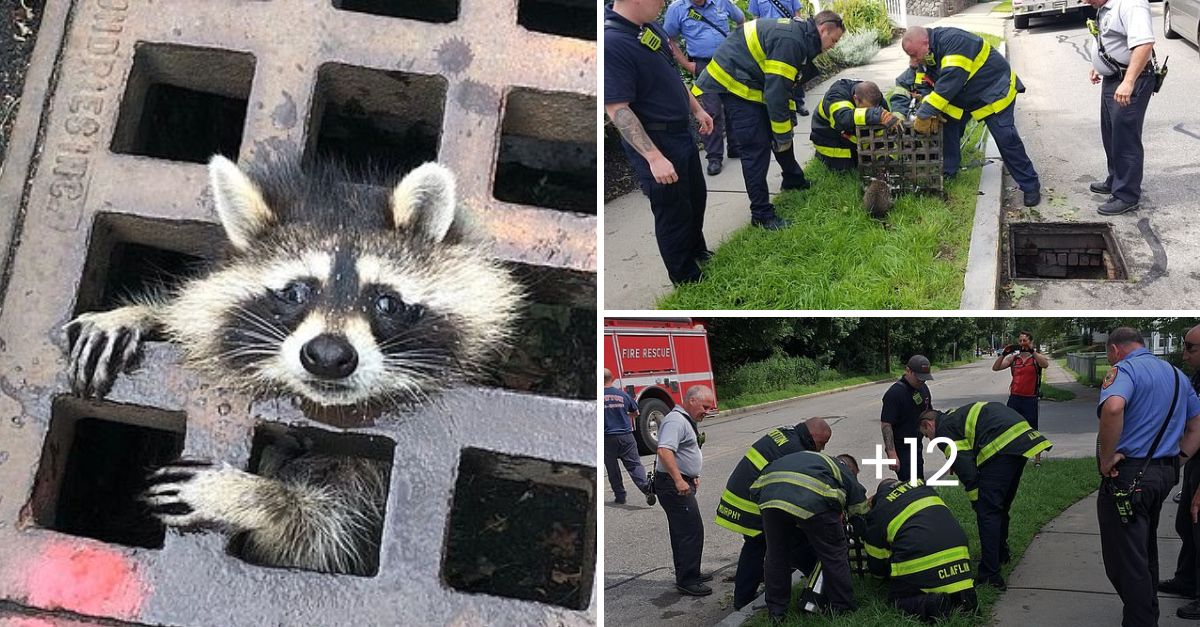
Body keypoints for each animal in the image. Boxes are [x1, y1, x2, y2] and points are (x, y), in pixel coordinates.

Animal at [64, 154, 525, 571]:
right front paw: (141, 314)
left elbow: (320, 532)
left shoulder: (367, 488)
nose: (328, 356)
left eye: (387, 302)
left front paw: (256, 497)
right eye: (295, 292)